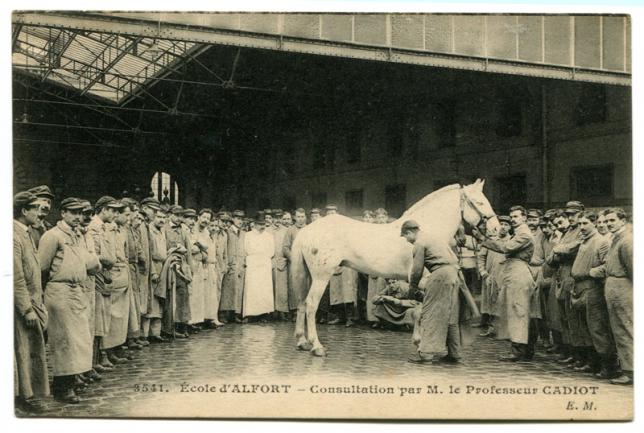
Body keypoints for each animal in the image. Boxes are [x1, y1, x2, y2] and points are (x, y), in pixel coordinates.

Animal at [290, 178, 500, 354]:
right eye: (480, 202)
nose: (497, 229)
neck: (423, 231)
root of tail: (307, 230)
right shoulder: (422, 279)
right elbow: (419, 310)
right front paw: (419, 342)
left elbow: (418, 308)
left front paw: (419, 341)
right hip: (321, 276)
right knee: (310, 305)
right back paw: (317, 346)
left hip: (307, 275)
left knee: (301, 303)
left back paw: (302, 342)